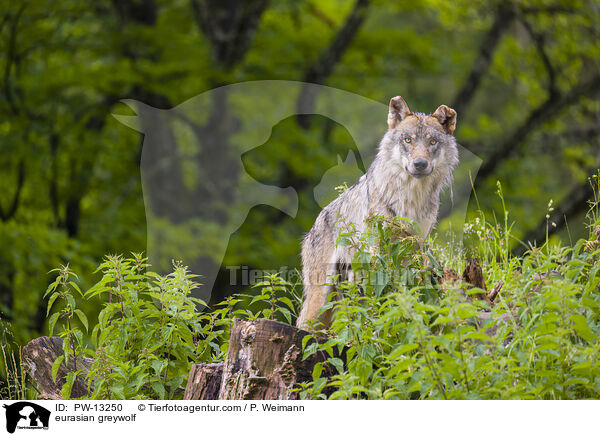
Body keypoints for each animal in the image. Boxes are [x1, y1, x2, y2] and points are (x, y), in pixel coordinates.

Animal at [298, 95, 460, 328]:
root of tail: (313, 227)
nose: (420, 164)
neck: (411, 197)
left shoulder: (416, 246)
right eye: (407, 140)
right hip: (320, 296)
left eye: (432, 142)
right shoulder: (376, 247)